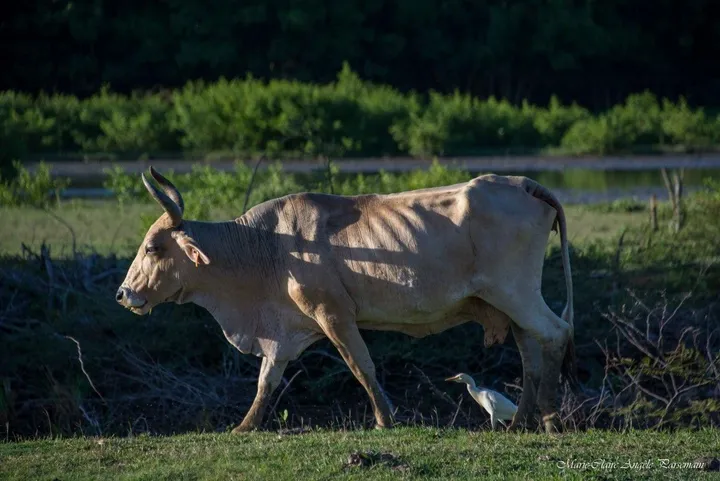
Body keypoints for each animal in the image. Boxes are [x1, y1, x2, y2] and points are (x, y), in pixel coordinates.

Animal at [116, 167, 576, 434]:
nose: (123, 293)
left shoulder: (332, 314)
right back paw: (520, 421)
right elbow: (267, 380)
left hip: (516, 292)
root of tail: (523, 182)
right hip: (511, 302)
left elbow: (361, 366)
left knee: (556, 334)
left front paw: (386, 420)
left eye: (153, 247)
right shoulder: (283, 331)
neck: (267, 247)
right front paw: (244, 427)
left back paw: (550, 419)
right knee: (530, 352)